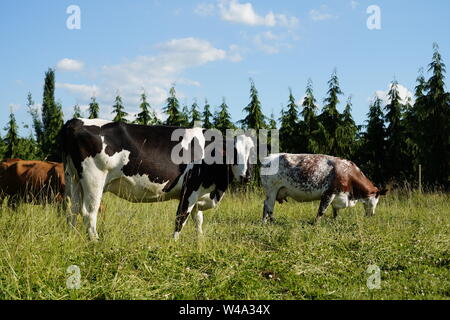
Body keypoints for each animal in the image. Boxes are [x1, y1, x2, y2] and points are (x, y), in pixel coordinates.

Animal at [60, 119, 255, 241]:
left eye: (253, 153)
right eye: (233, 152)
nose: (246, 176)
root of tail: (76, 121)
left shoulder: (198, 193)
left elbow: (198, 219)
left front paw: (200, 242)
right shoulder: (189, 190)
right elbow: (180, 219)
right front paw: (174, 244)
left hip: (73, 178)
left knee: (73, 210)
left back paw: (72, 237)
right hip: (94, 179)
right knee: (89, 212)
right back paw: (95, 241)